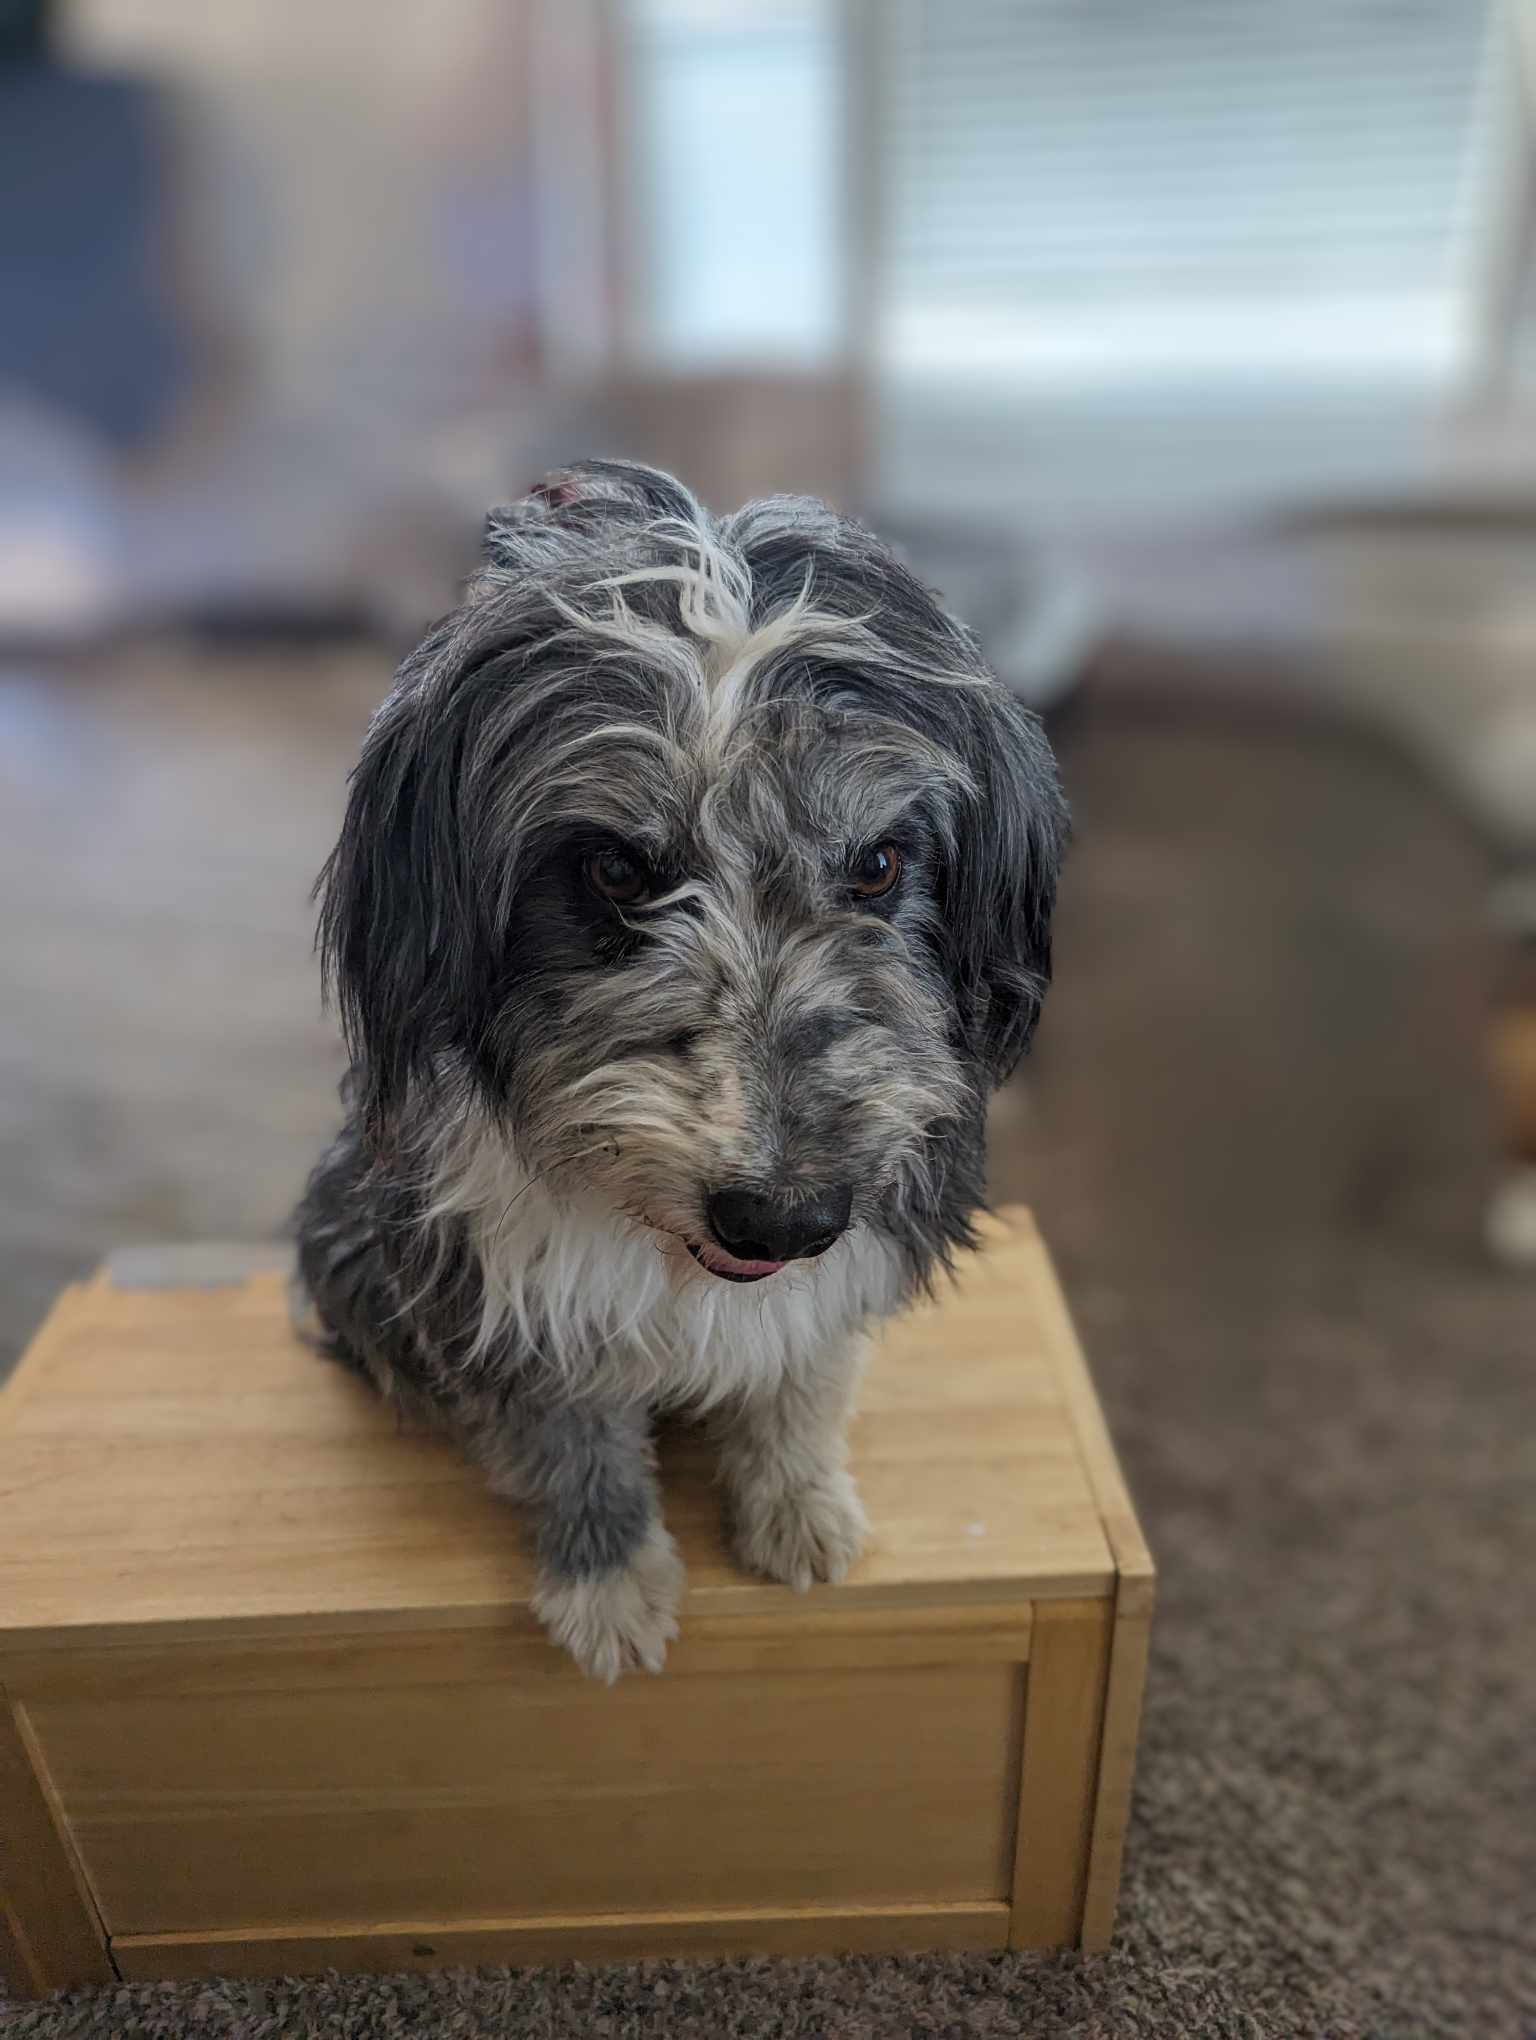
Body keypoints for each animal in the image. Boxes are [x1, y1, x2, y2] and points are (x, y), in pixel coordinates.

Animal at [299, 459, 1068, 1672]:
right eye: (615, 868)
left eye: (879, 863)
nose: (783, 1220)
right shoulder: (508, 1285)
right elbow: (569, 1438)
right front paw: (610, 1587)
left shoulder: (850, 1258)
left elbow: (805, 1380)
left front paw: (800, 1513)